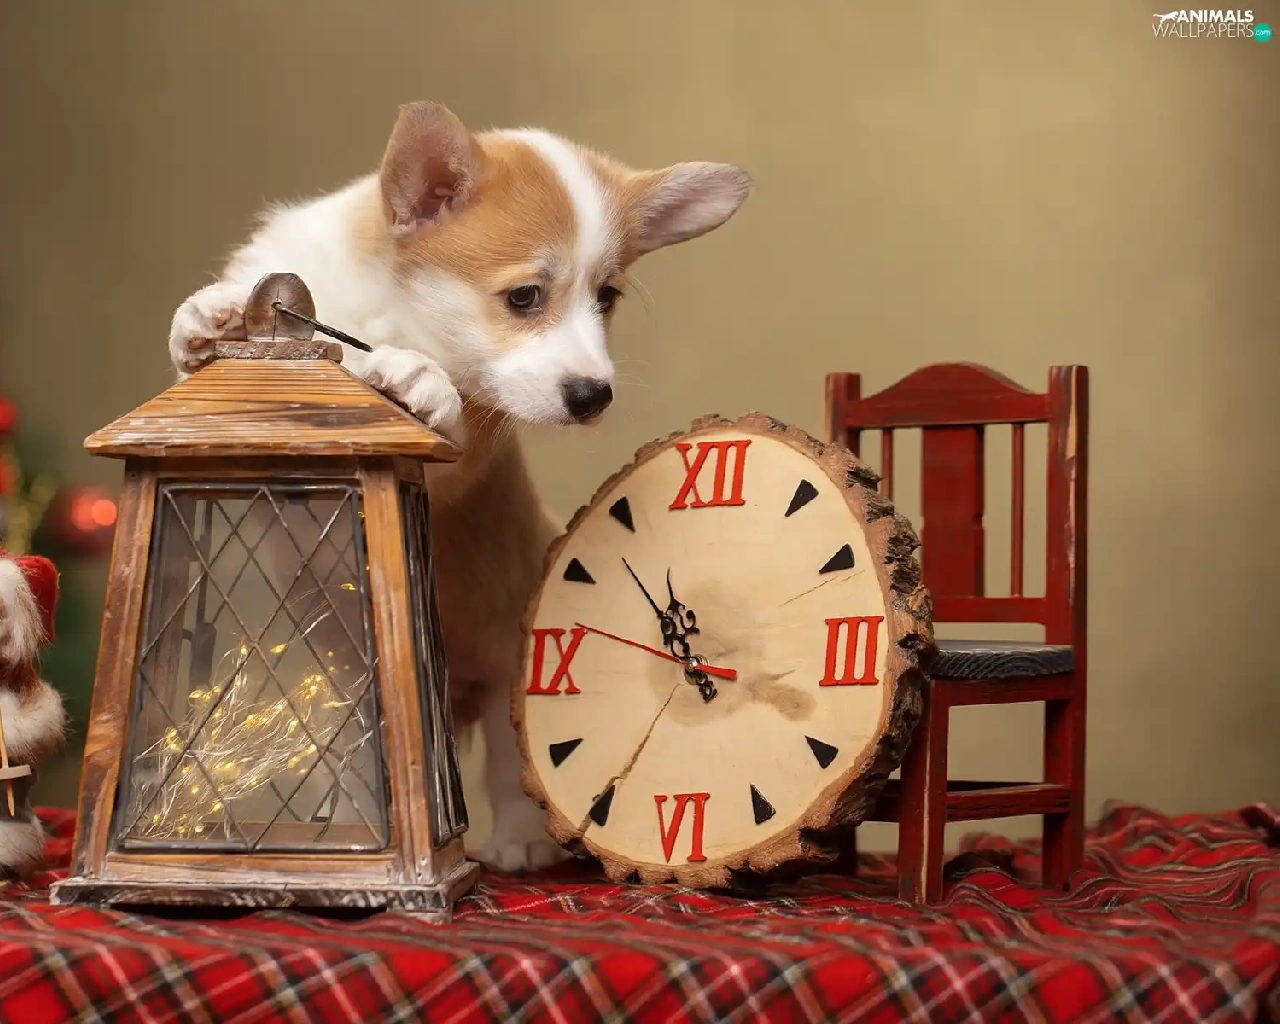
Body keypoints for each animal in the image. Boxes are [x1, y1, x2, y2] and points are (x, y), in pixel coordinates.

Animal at [167, 100, 751, 871]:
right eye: (525, 297)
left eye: (607, 297)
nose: (594, 396)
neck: (390, 309)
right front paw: (208, 316)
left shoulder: (458, 460)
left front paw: (419, 377)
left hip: (514, 678)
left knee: (512, 769)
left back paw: (522, 841)